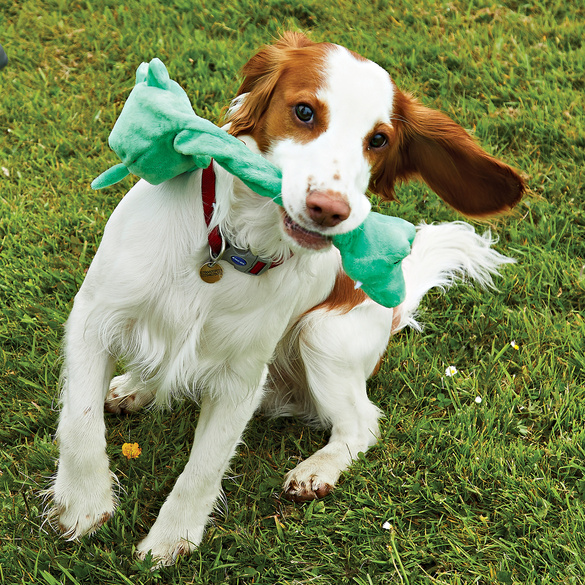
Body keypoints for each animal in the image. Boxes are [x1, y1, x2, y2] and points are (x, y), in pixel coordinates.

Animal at [50, 33, 524, 564]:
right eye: (303, 111)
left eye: (379, 140)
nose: (330, 210)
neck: (229, 245)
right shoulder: (93, 317)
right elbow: (80, 421)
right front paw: (84, 505)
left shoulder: (242, 374)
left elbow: (204, 466)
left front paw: (171, 539)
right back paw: (135, 387)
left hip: (322, 335)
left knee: (362, 423)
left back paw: (317, 470)